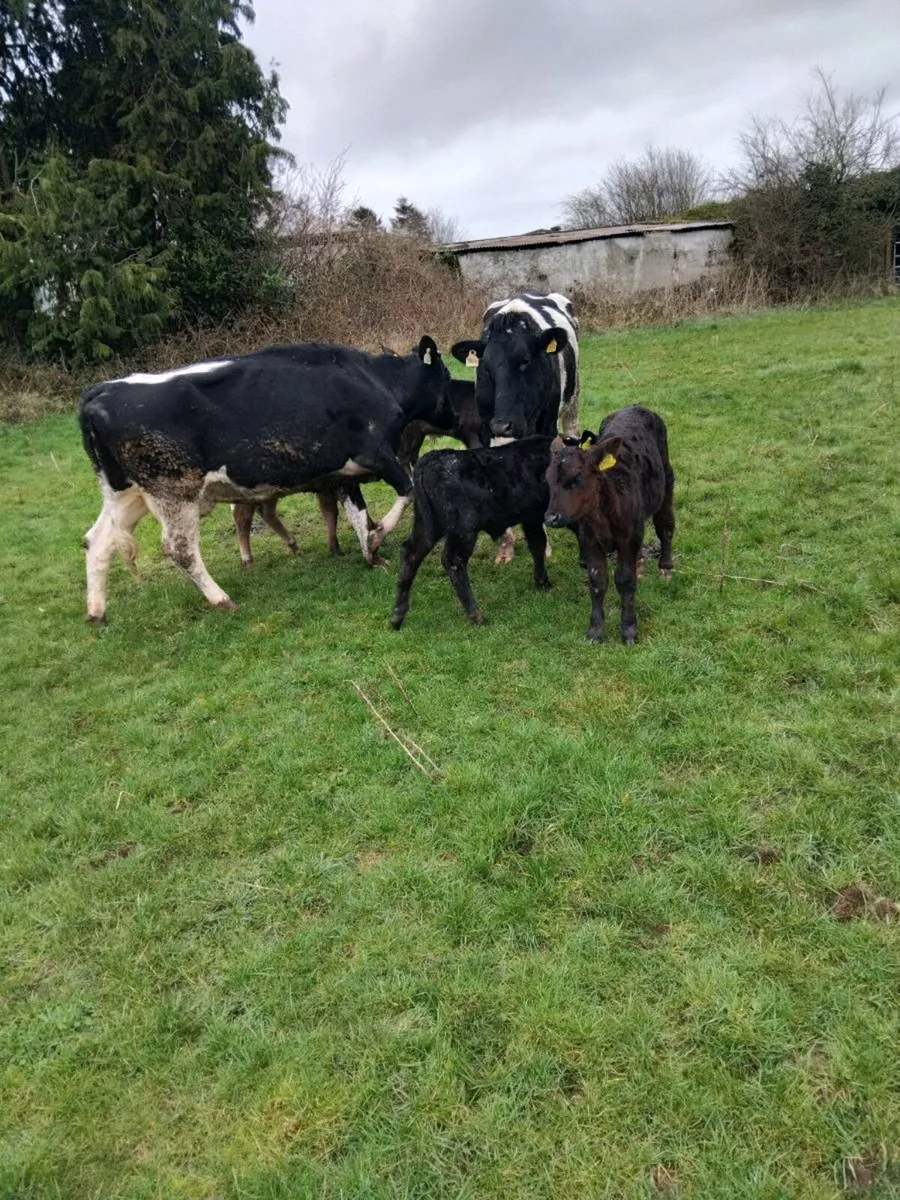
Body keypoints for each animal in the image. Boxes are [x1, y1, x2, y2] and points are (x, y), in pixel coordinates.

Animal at [79, 337, 450, 623]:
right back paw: (221, 599)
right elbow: (408, 492)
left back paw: (97, 612)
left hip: (127, 493)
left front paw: (371, 554)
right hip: (173, 491)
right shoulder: (378, 455)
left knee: (98, 540)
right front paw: (376, 539)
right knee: (180, 549)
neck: (375, 380)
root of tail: (100, 392)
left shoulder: (346, 471)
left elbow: (356, 513)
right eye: (446, 375)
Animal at [389, 436, 558, 630]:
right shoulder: (535, 516)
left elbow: (538, 544)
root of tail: (431, 458)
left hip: (427, 524)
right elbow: (539, 543)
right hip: (464, 528)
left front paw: (542, 582)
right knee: (453, 560)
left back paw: (396, 616)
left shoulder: (532, 518)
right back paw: (476, 614)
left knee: (411, 554)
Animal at [450, 291, 580, 564]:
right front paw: (505, 545)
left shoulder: (546, 427)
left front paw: (544, 542)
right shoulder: (486, 431)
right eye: (486, 367)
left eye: (525, 361)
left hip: (573, 402)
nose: (503, 424)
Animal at [544, 405, 675, 645]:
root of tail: (635, 406)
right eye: (548, 480)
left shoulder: (629, 537)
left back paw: (666, 567)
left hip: (667, 481)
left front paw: (629, 630)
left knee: (666, 526)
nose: (551, 518)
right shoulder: (589, 539)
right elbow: (597, 581)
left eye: (576, 478)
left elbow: (625, 580)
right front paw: (595, 631)